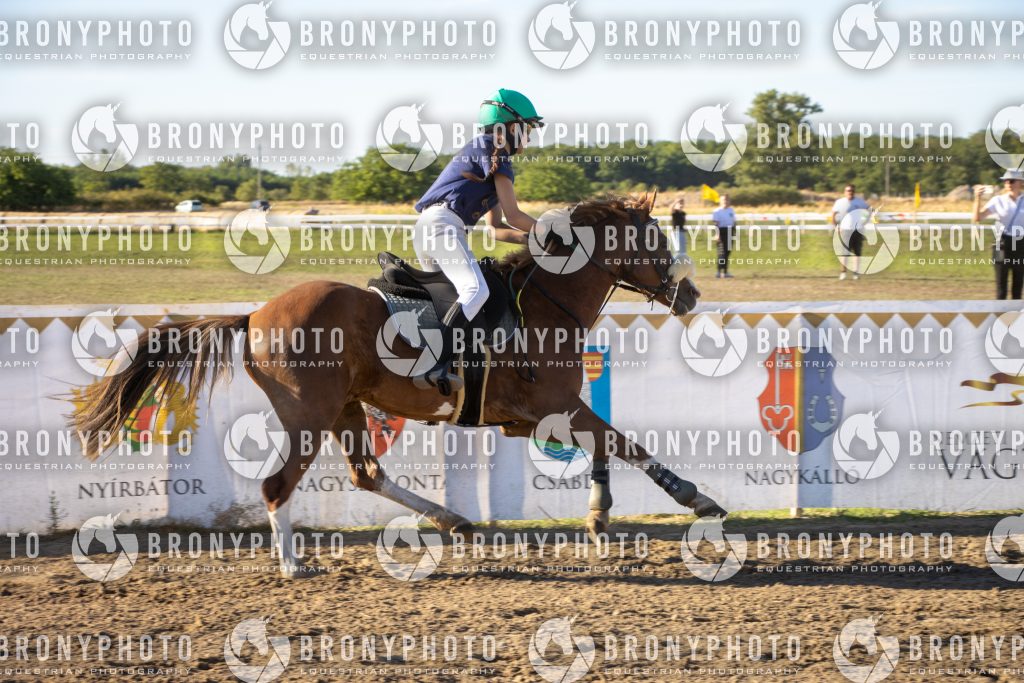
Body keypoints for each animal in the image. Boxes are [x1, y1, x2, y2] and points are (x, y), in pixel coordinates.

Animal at [72, 194, 728, 578]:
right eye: (655, 238)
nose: (691, 294)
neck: (548, 301)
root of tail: (255, 314)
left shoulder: (535, 418)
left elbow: (604, 447)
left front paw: (598, 514)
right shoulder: (551, 407)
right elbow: (625, 443)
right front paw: (696, 498)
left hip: (347, 408)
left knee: (367, 473)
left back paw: (451, 520)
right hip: (308, 416)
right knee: (277, 484)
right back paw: (293, 565)